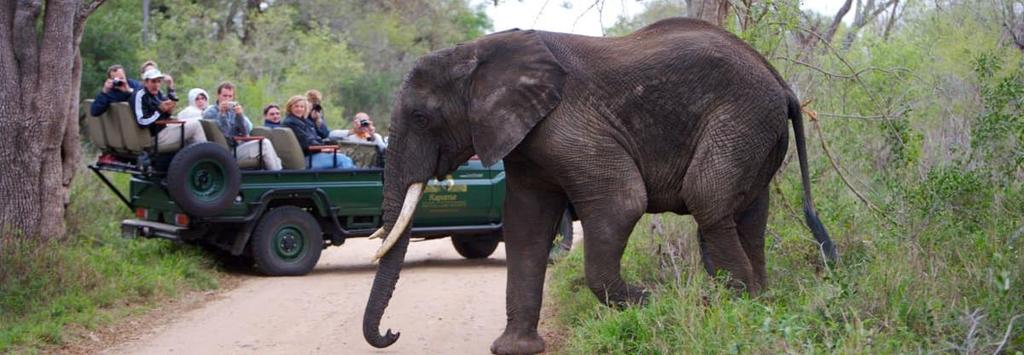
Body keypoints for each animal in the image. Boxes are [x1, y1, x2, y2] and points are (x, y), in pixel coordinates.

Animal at [364, 17, 835, 355]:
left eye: (422, 117)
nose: (392, 332)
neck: (479, 50)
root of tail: (781, 82)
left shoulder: (566, 123)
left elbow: (620, 201)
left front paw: (651, 302)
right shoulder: (526, 138)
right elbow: (525, 225)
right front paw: (515, 350)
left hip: (740, 119)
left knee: (710, 201)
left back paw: (731, 305)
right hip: (757, 130)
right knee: (751, 215)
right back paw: (759, 304)